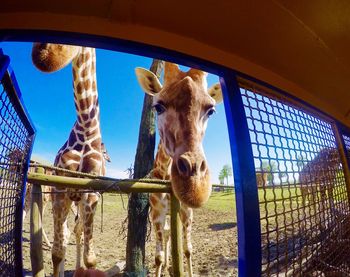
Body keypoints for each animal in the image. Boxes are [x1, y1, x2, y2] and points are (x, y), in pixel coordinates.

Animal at [31, 43, 104, 276]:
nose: (43, 56)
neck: (86, 127)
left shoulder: (91, 194)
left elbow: (91, 259)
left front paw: (84, 266)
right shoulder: (60, 190)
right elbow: (57, 252)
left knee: (78, 230)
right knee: (65, 234)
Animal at [135, 63, 223, 276]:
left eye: (211, 110)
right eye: (158, 107)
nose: (195, 188)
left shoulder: (186, 211)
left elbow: (187, 249)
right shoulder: (157, 213)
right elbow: (158, 257)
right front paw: (164, 265)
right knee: (167, 235)